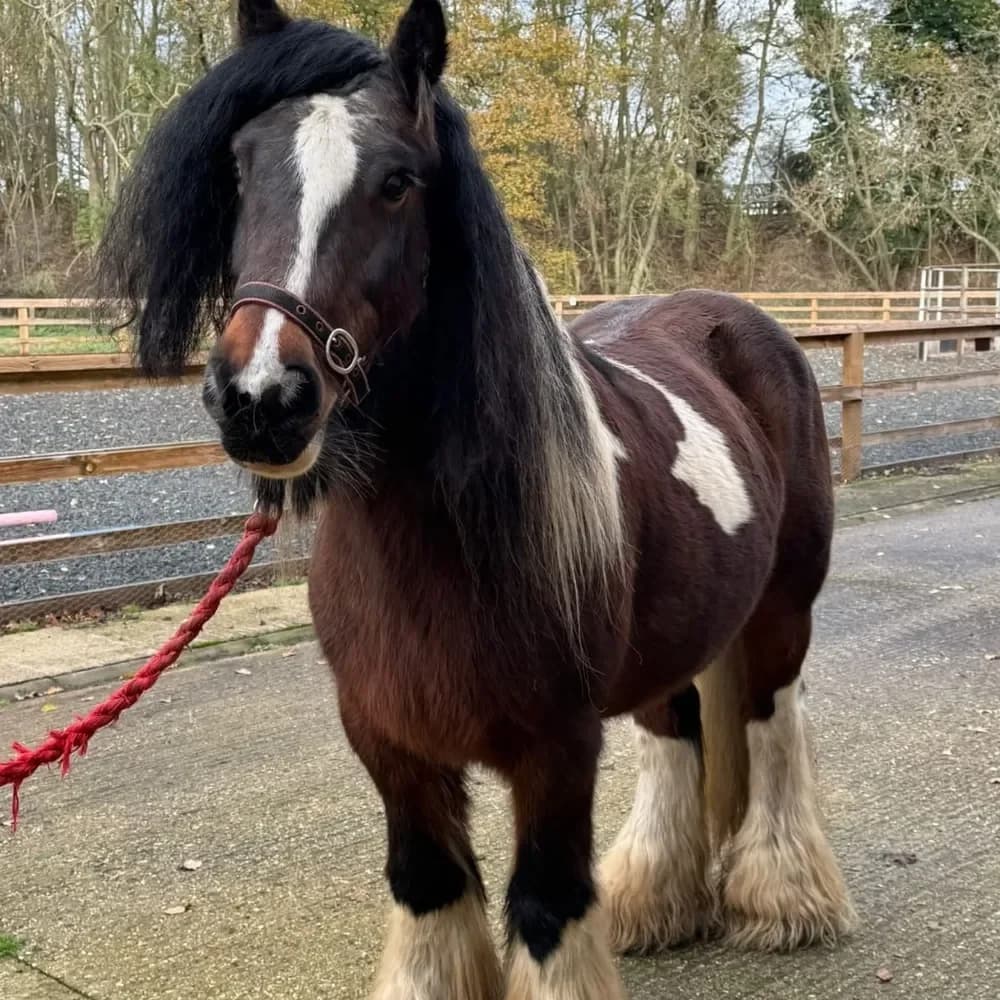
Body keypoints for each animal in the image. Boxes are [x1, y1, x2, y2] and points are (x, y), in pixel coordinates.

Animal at [96, 1, 856, 996]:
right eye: (240, 168)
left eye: (396, 183)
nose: (261, 398)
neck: (445, 542)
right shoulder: (386, 738)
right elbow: (428, 883)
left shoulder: (557, 747)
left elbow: (544, 902)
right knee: (676, 731)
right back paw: (654, 899)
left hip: (781, 610)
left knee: (769, 724)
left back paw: (782, 898)